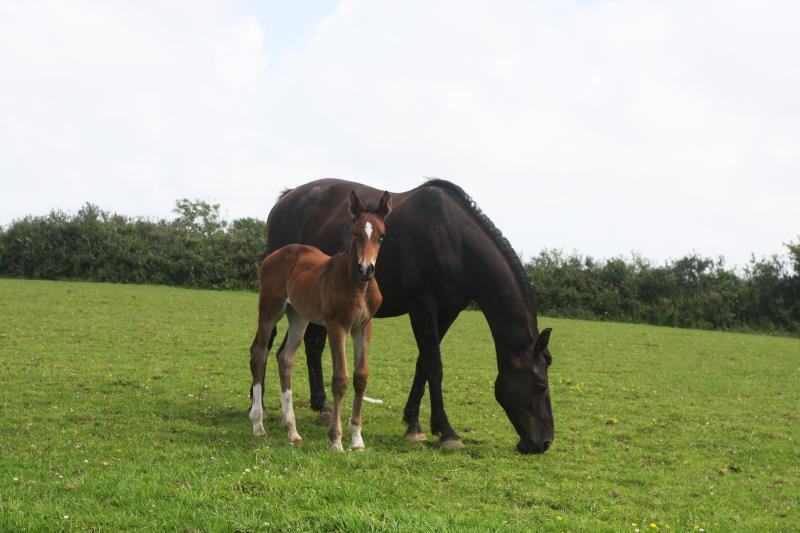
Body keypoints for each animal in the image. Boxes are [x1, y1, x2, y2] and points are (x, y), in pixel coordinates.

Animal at [247, 190, 390, 448]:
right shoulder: (336, 326)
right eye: (355, 233)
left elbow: (360, 377)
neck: (357, 285)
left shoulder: (363, 327)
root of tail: (273, 256)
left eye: (381, 236)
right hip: (270, 309)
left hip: (298, 317)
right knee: (259, 353)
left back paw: (292, 430)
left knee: (285, 358)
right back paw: (258, 424)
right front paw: (336, 440)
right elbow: (340, 378)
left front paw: (357, 439)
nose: (366, 269)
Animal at [266, 179, 552, 454]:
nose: (544, 442)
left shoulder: (448, 311)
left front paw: (414, 423)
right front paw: (447, 432)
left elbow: (423, 365)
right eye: (540, 383)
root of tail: (287, 197)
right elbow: (434, 365)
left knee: (309, 347)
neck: (454, 240)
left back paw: (322, 406)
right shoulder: (422, 306)